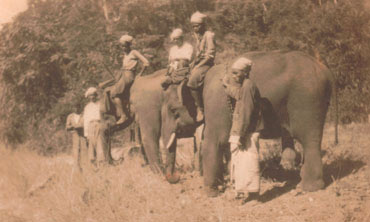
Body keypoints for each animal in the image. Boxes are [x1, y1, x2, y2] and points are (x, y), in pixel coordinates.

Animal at [130, 50, 332, 196]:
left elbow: (213, 141)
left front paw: (209, 192)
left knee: (309, 139)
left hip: (307, 101)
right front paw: (223, 183)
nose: (176, 177)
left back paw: (308, 188)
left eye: (173, 110)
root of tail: (324, 70)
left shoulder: (214, 102)